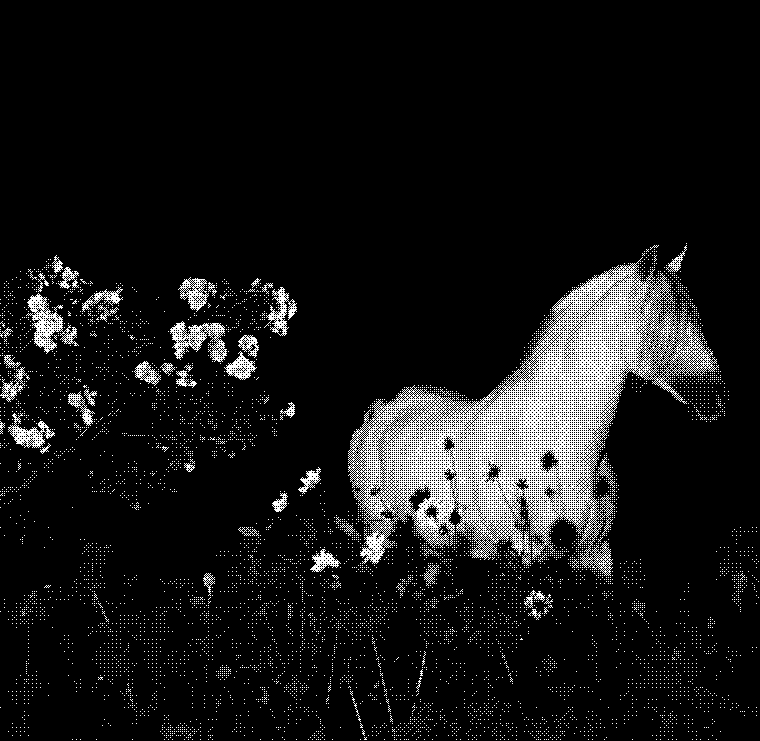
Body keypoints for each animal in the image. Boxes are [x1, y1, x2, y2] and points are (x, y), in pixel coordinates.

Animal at [348, 246, 725, 586]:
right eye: (659, 322)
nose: (718, 400)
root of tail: (381, 411)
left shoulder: (597, 559)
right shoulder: (530, 566)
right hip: (385, 539)